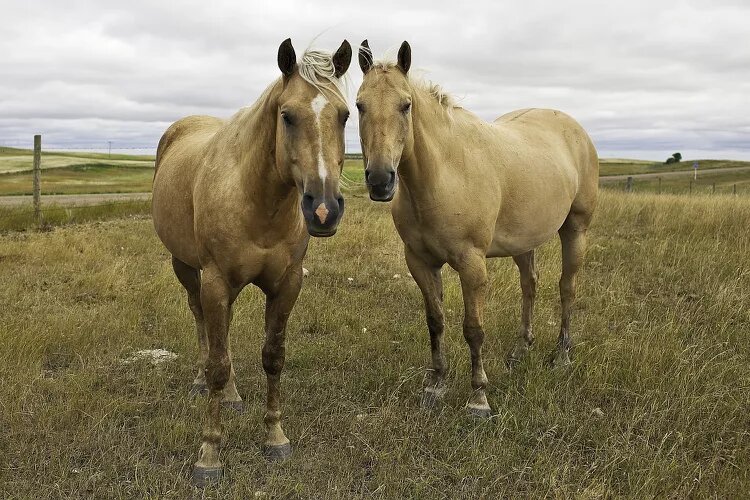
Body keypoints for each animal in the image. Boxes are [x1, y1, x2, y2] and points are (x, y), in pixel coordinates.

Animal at [153, 38, 356, 484]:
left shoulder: (287, 285)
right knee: (203, 327)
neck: (257, 201)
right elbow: (217, 362)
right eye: (287, 116)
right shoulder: (215, 282)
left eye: (346, 114)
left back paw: (231, 396)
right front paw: (209, 455)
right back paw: (201, 382)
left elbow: (272, 357)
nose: (324, 210)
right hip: (187, 269)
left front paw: (275, 437)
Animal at [356, 42, 600, 418]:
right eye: (359, 105)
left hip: (575, 231)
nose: (381, 180)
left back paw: (561, 355)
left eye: (405, 105)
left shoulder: (472, 266)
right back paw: (521, 349)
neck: (444, 174)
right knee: (530, 286)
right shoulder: (420, 263)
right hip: (523, 242)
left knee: (567, 288)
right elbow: (435, 321)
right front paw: (436, 384)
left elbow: (474, 329)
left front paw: (478, 398)